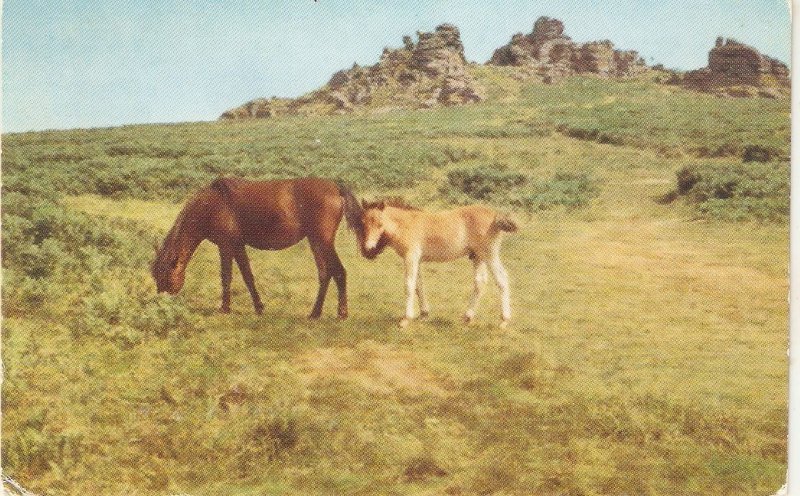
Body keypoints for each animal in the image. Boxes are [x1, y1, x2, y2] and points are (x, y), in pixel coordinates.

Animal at [151, 176, 362, 320]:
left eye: (164, 276)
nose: (161, 302)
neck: (211, 205)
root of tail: (336, 188)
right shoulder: (238, 246)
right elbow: (247, 276)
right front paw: (259, 307)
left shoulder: (226, 246)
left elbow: (226, 276)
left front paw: (224, 308)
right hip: (315, 241)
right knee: (325, 274)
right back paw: (315, 313)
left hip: (323, 242)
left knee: (339, 272)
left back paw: (342, 313)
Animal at [352, 198, 520, 330]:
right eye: (363, 222)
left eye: (380, 223)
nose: (369, 248)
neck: (405, 224)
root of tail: (495, 214)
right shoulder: (417, 260)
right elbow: (418, 285)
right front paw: (423, 314)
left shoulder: (411, 257)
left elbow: (409, 285)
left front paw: (405, 319)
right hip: (478, 257)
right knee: (480, 282)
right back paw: (467, 317)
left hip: (489, 255)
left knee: (502, 279)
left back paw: (504, 321)